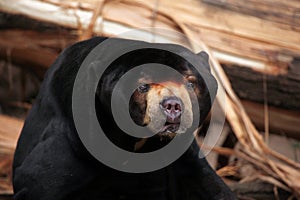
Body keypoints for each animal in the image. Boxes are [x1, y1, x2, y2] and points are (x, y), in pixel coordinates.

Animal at [12, 36, 236, 199]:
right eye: (142, 86)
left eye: (190, 83)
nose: (173, 106)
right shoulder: (75, 141)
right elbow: (40, 182)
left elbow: (208, 186)